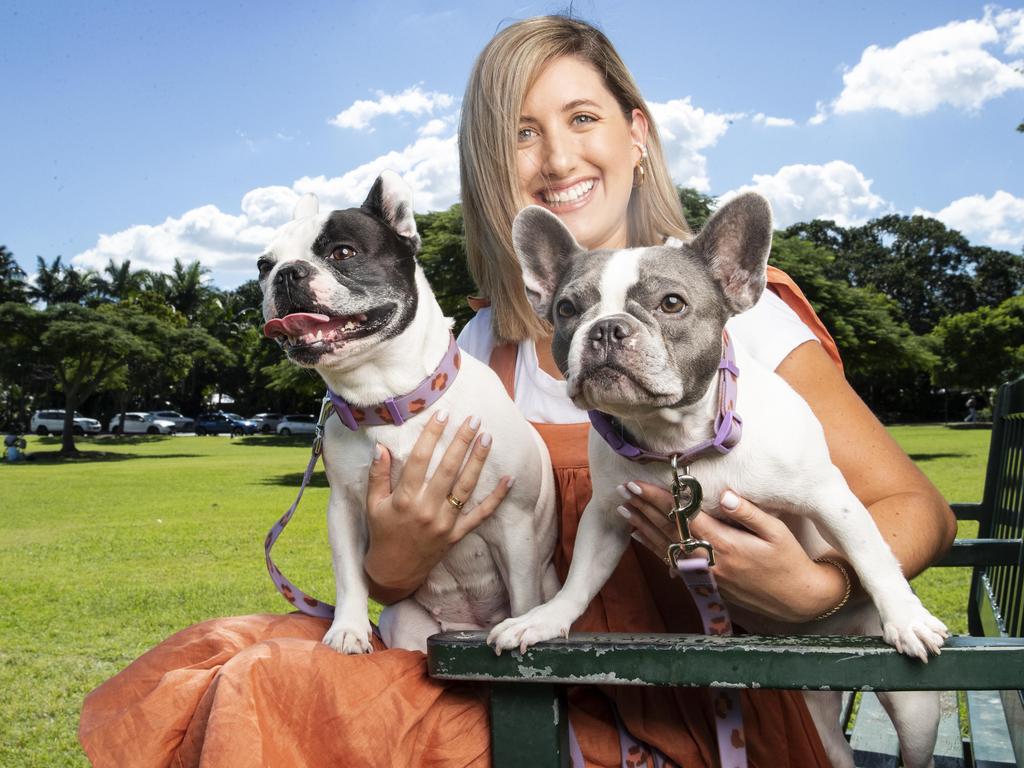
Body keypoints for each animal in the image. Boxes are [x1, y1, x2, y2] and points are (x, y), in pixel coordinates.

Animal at [260, 173, 557, 655]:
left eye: (343, 252)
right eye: (263, 266)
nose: (286, 272)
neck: (391, 400)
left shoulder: (516, 524)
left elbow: (523, 593)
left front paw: (522, 626)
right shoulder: (345, 512)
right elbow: (349, 576)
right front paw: (348, 629)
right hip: (406, 624)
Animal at [491, 196, 946, 768]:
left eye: (671, 303)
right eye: (568, 310)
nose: (608, 328)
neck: (680, 446)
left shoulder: (830, 498)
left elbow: (871, 557)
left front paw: (906, 616)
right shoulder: (607, 513)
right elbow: (581, 578)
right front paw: (545, 618)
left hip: (914, 712)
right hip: (818, 712)